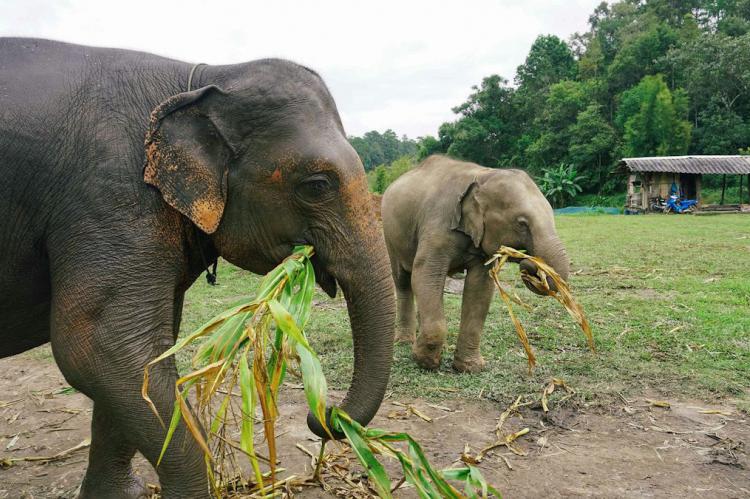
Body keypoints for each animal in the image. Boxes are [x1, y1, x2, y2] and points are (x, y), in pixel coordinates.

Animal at [0, 39, 396, 499]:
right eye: (317, 186)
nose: (324, 415)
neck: (201, 77)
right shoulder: (108, 195)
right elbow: (98, 346)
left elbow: (136, 360)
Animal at [382, 155, 568, 372]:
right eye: (521, 223)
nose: (528, 264)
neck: (481, 175)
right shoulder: (437, 224)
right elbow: (426, 273)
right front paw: (425, 362)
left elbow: (479, 287)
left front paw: (470, 367)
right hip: (390, 236)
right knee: (403, 280)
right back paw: (404, 341)